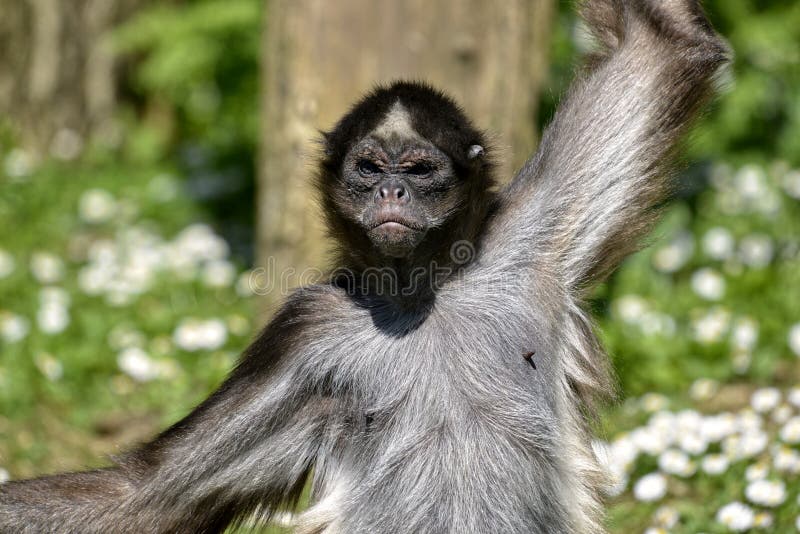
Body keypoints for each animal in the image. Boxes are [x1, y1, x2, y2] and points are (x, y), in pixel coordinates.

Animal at [0, 2, 728, 532]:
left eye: (419, 171)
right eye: (369, 169)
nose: (391, 193)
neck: (417, 298)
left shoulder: (523, 244)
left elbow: (659, 41)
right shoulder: (307, 330)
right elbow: (147, 494)